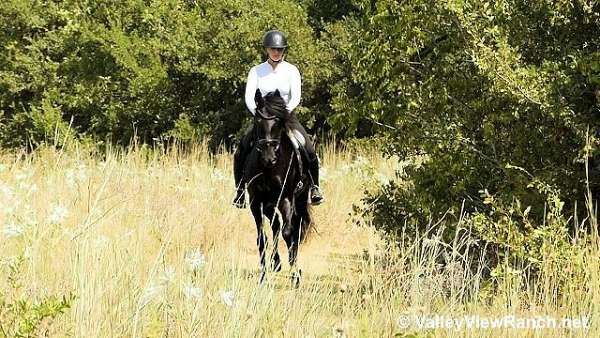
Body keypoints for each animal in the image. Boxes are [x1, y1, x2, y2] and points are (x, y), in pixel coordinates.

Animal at [243, 89, 312, 286]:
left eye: (278, 123)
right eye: (258, 121)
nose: (269, 158)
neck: (269, 169)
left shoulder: (286, 199)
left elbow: (288, 233)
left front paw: (295, 276)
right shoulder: (255, 202)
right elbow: (262, 238)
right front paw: (263, 276)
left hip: (299, 201)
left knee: (293, 228)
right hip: (268, 204)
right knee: (275, 226)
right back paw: (276, 263)